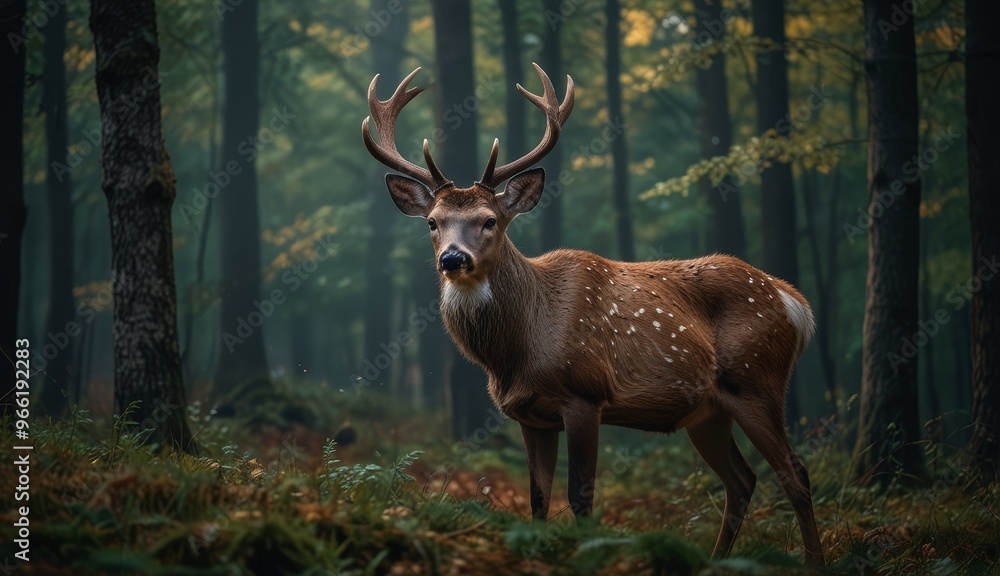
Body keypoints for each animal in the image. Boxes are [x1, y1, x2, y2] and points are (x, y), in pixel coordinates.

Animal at [362, 64, 824, 565]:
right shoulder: (529, 415)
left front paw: (585, 553)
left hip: (757, 380)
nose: (452, 258)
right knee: (742, 481)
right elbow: (538, 497)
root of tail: (794, 302)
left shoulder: (585, 394)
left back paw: (813, 560)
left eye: (490, 220)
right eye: (433, 222)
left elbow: (580, 494)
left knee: (796, 472)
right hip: (709, 412)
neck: (517, 352)